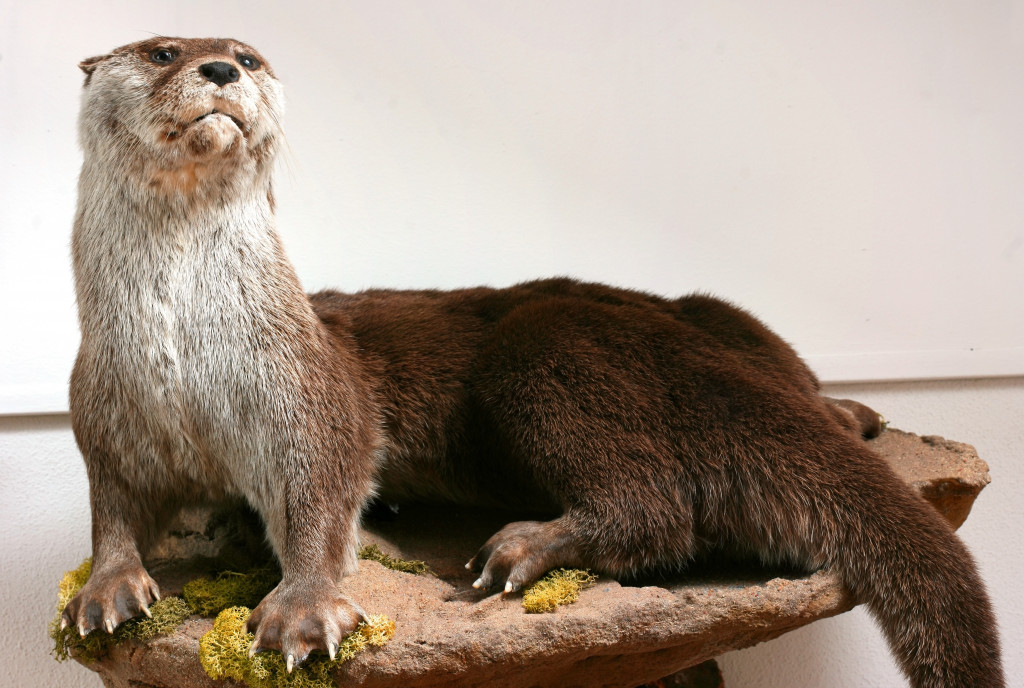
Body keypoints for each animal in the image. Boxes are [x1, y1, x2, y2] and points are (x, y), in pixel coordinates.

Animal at [61, 38, 999, 688]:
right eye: (163, 51)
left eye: (249, 54)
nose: (221, 67)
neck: (183, 354)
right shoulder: (101, 410)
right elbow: (113, 507)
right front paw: (106, 588)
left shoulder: (306, 388)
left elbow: (322, 490)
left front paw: (301, 611)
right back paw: (852, 415)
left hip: (543, 353)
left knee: (658, 513)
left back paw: (521, 548)